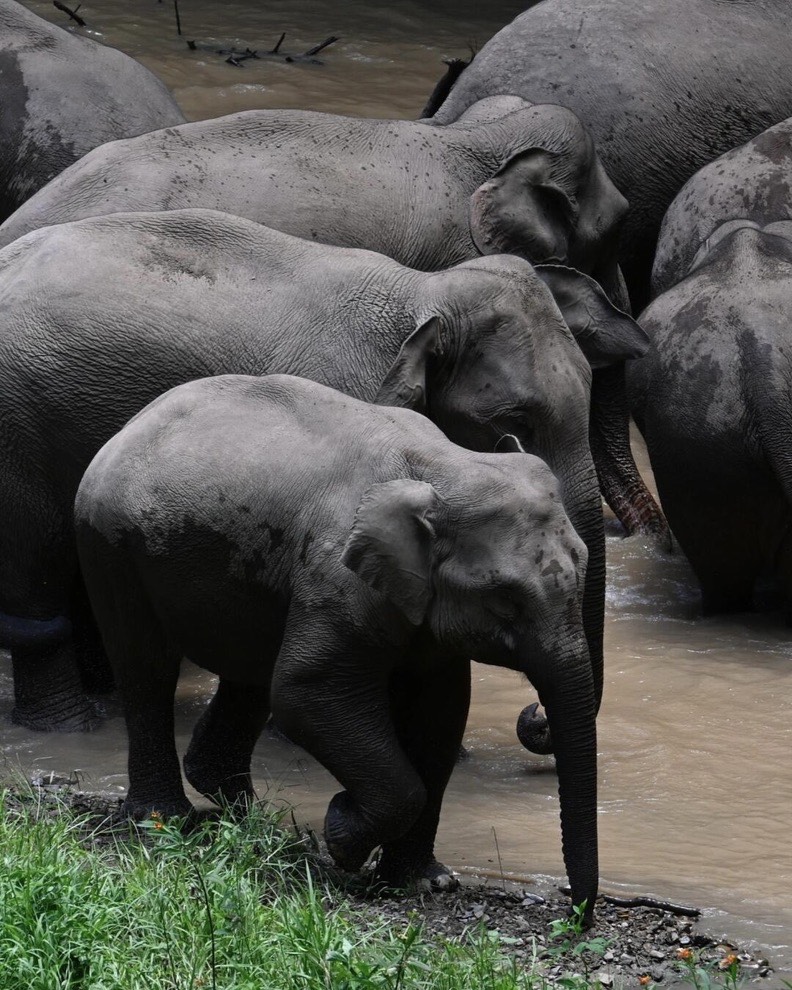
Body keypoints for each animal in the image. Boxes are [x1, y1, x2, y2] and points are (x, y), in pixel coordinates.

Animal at [0, 208, 646, 732]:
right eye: (516, 420)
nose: (532, 717)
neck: (422, 294)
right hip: (17, 427)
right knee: (35, 565)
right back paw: (71, 724)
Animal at [74, 372, 599, 919]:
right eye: (504, 600)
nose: (576, 914)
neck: (445, 466)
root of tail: (128, 426)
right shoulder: (337, 575)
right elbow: (307, 692)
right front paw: (342, 833)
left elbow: (440, 713)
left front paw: (424, 882)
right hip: (109, 544)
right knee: (148, 669)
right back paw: (162, 822)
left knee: (250, 677)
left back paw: (248, 818)